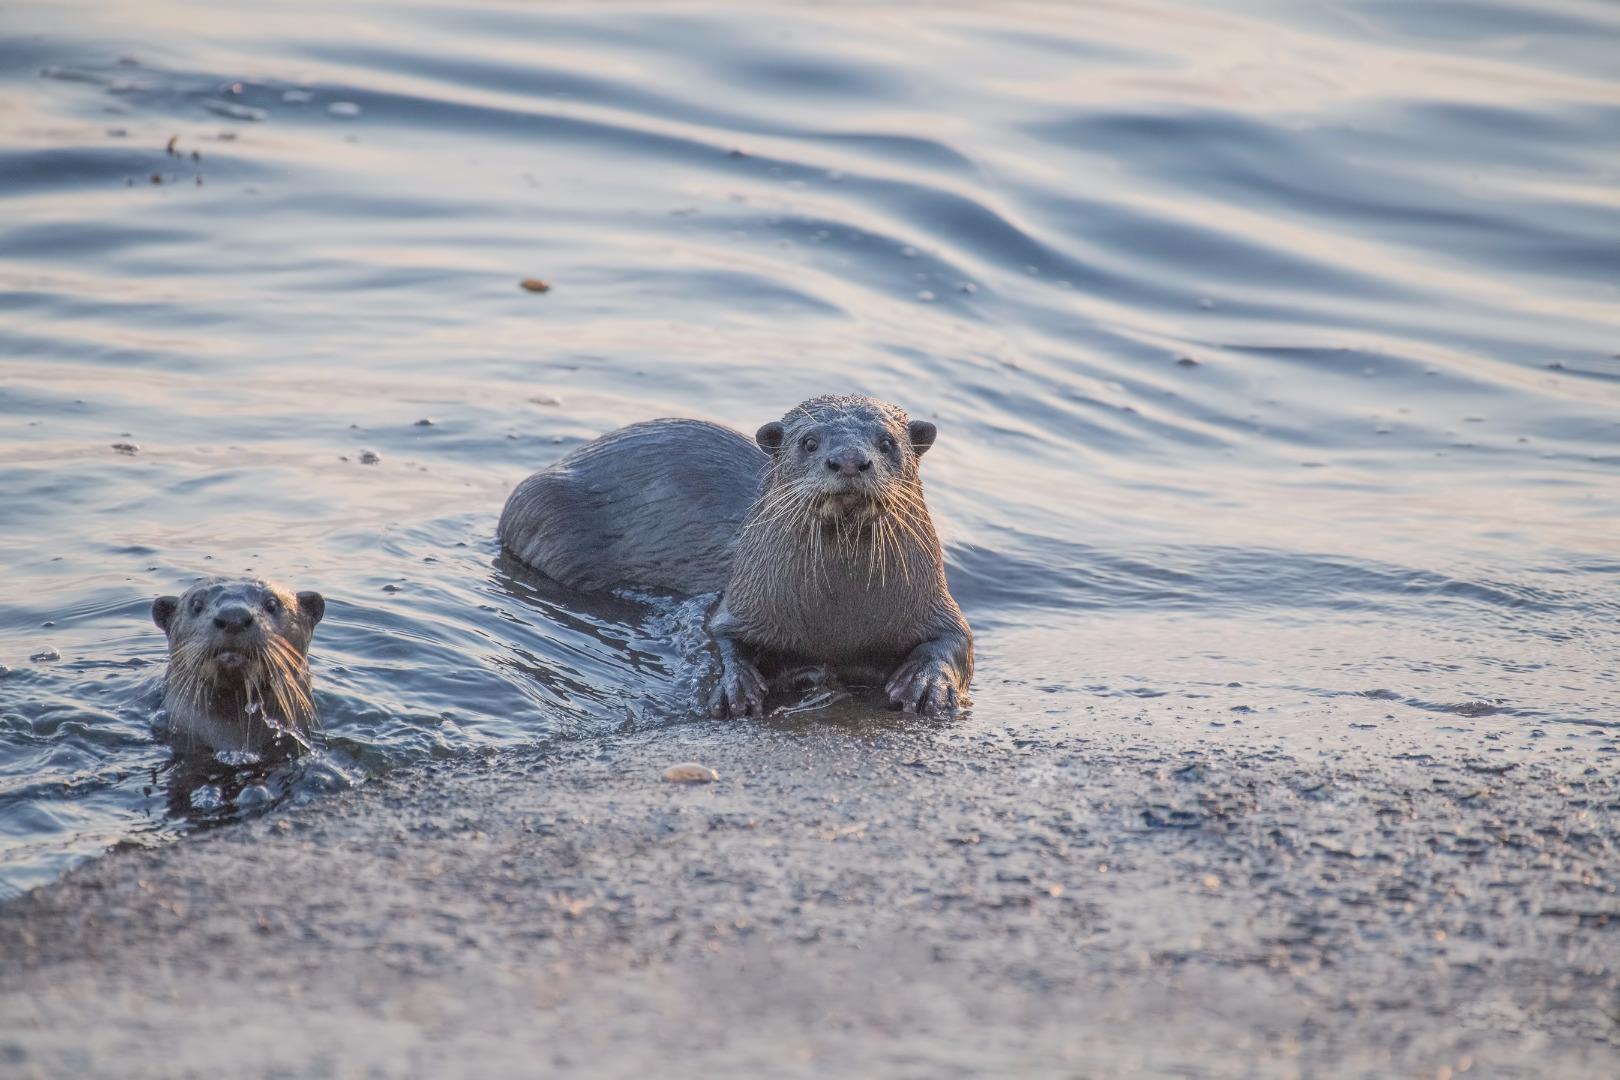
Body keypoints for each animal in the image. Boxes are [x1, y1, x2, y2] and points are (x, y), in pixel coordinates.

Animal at [492, 396, 972, 718]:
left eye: (887, 442)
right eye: (810, 442)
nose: (850, 460)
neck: (838, 622)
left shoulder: (936, 604)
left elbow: (957, 640)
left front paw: (926, 683)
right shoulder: (740, 603)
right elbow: (717, 638)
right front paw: (734, 685)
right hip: (540, 508)